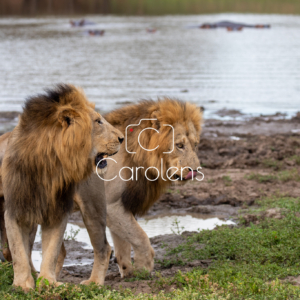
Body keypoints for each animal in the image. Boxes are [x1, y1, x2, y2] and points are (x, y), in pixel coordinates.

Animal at [0, 85, 123, 292]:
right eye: (98, 121)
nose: (122, 138)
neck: (50, 166)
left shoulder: (57, 211)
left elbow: (50, 250)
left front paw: (47, 282)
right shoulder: (17, 209)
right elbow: (18, 251)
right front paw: (24, 284)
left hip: (92, 207)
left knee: (103, 248)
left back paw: (94, 283)